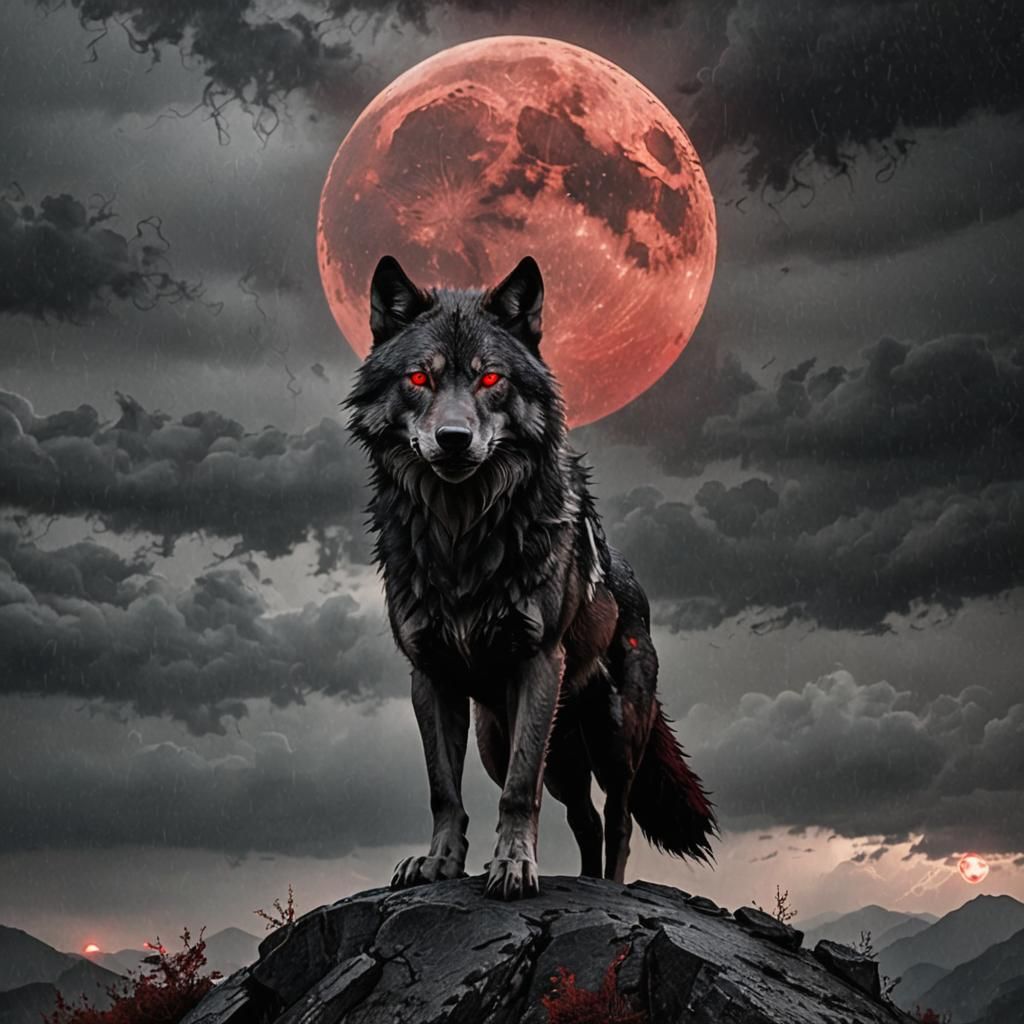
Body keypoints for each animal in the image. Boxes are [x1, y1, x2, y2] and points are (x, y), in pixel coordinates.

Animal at [345, 253, 716, 900]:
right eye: (419, 379)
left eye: (491, 379)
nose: (453, 439)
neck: (461, 536)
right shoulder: (429, 674)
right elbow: (444, 790)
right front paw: (439, 863)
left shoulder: (538, 662)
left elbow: (520, 794)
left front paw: (514, 867)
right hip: (513, 742)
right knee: (583, 817)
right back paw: (584, 879)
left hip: (613, 736)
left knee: (616, 819)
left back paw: (608, 886)